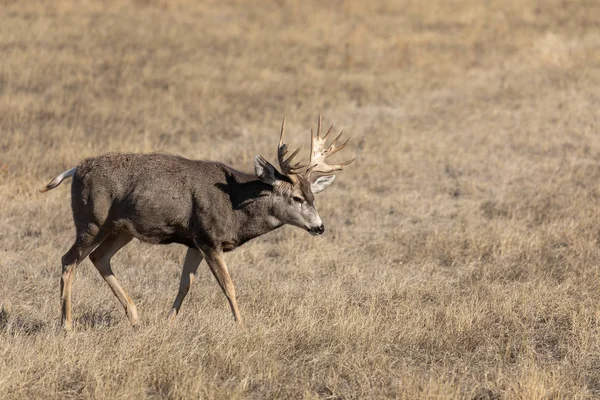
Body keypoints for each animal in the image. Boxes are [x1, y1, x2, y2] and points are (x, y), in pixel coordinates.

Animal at [41, 115, 356, 328]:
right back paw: (66, 325)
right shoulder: (208, 237)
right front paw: (242, 326)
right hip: (91, 221)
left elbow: (185, 284)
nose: (319, 227)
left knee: (99, 258)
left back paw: (135, 318)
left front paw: (168, 323)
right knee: (68, 260)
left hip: (121, 229)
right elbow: (228, 285)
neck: (235, 203)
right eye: (296, 198)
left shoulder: (194, 241)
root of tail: (76, 169)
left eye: (314, 197)